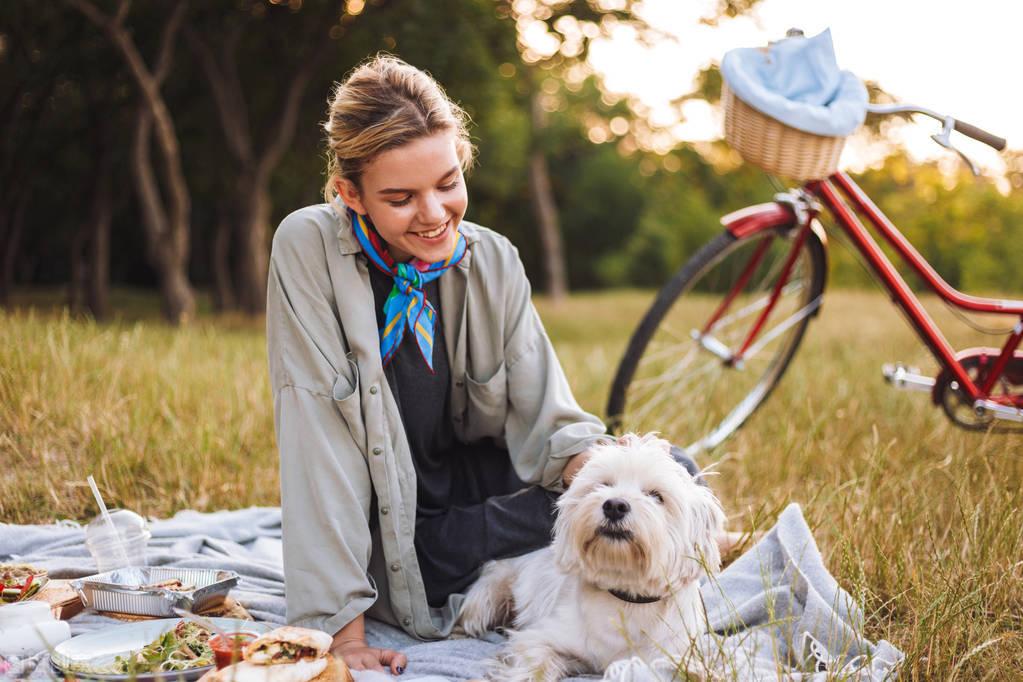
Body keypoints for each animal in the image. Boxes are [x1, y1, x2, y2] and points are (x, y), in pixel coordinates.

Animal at [456, 435, 728, 678]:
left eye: (656, 496)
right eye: (603, 485)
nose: (614, 506)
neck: (626, 598)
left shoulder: (673, 658)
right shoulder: (540, 638)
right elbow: (535, 666)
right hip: (487, 597)